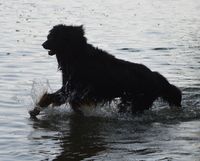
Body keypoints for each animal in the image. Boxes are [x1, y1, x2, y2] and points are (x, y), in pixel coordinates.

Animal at [29, 24, 181, 117]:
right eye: (50, 36)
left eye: (54, 36)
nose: (43, 44)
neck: (77, 55)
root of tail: (157, 78)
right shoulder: (71, 88)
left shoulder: (75, 89)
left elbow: (52, 97)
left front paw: (36, 110)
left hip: (137, 101)